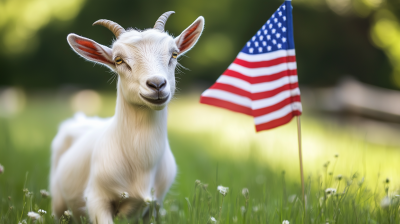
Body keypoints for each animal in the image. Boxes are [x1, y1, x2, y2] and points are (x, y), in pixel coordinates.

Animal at [50, 11, 205, 223]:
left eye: (174, 54)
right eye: (118, 60)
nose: (157, 84)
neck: (142, 165)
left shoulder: (154, 205)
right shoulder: (97, 199)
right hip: (58, 203)